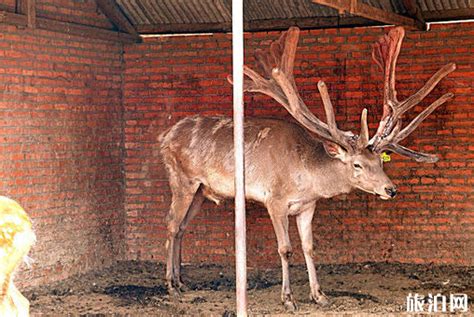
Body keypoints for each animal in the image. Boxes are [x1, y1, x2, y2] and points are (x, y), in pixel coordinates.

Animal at [159, 25, 456, 308]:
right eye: (357, 164)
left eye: (380, 161)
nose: (391, 189)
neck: (306, 176)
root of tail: (165, 136)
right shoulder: (274, 200)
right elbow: (285, 248)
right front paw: (288, 298)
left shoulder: (308, 205)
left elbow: (309, 247)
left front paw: (319, 295)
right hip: (180, 178)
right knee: (172, 223)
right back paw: (171, 285)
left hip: (201, 190)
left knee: (182, 226)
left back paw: (182, 281)